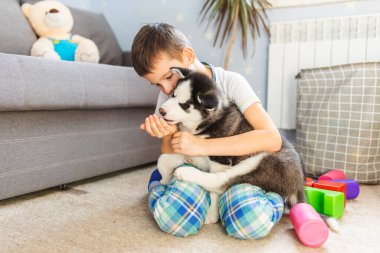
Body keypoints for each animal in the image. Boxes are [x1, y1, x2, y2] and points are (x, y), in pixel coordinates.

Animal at [157, 67, 306, 223]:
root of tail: (299, 185)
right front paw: (164, 178)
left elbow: (215, 188)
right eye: (173, 95)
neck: (206, 124)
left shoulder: (219, 158)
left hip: (262, 163)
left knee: (220, 181)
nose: (161, 110)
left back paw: (186, 172)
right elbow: (164, 158)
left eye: (184, 105)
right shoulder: (193, 152)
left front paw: (212, 212)